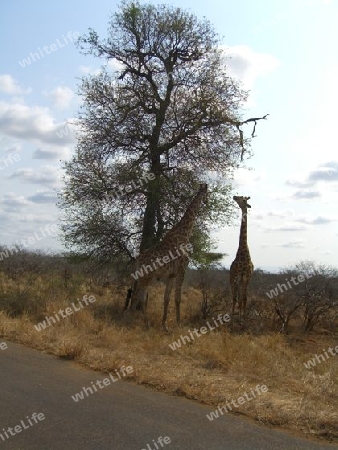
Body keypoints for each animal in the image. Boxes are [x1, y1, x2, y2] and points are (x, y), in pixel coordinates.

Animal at [129, 183, 209, 330]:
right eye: (208, 193)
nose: (206, 201)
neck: (184, 234)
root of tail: (137, 260)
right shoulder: (182, 269)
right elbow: (178, 298)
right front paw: (178, 323)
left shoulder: (171, 274)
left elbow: (167, 299)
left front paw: (165, 325)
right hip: (146, 276)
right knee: (138, 296)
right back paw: (135, 321)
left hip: (144, 276)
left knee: (139, 295)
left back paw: (143, 322)